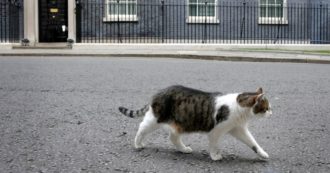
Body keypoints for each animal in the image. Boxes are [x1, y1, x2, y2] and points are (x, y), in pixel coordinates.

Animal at [117, 85, 272, 161]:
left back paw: (183, 149)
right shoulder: (216, 131)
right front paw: (215, 156)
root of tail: (159, 92)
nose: (272, 113)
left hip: (180, 123)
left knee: (173, 137)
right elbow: (214, 145)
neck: (239, 107)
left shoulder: (238, 129)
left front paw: (263, 154)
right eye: (266, 108)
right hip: (155, 119)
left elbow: (253, 143)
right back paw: (138, 144)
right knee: (141, 127)